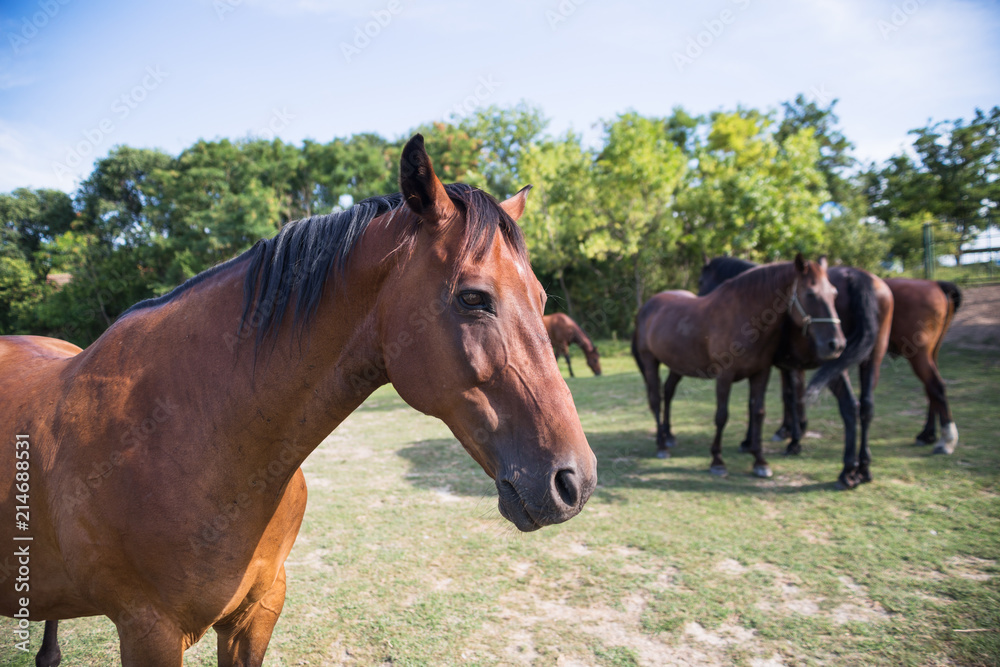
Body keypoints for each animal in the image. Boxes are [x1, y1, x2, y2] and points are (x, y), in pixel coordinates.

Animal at [632, 253, 844, 478]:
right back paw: (661, 445)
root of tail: (647, 307)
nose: (837, 344)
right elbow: (721, 416)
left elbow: (758, 413)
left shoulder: (761, 373)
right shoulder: (724, 376)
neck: (744, 317)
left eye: (834, 293)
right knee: (656, 400)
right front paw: (717, 461)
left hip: (677, 365)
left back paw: (668, 436)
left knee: (668, 392)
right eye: (811, 293)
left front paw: (760, 461)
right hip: (650, 361)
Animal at [700, 253, 896, 488]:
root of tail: (856, 276)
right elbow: (792, 396)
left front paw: (783, 439)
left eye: (701, 281)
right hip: (872, 359)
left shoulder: (776, 365)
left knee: (849, 406)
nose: (701, 299)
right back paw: (864, 468)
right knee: (866, 406)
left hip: (836, 366)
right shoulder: (789, 365)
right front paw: (794, 433)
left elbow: (783, 398)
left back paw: (848, 470)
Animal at [892, 276, 960, 454]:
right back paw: (928, 434)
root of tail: (934, 283)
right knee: (931, 388)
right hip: (930, 354)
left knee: (936, 386)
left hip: (919, 355)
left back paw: (946, 441)